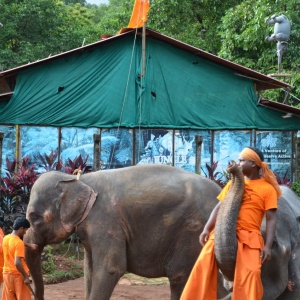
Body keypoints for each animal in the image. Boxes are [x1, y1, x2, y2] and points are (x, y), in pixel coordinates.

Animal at [24, 164, 229, 300]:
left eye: (34, 217)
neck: (78, 180)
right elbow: (89, 271)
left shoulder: (105, 220)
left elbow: (110, 269)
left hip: (193, 233)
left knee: (180, 276)